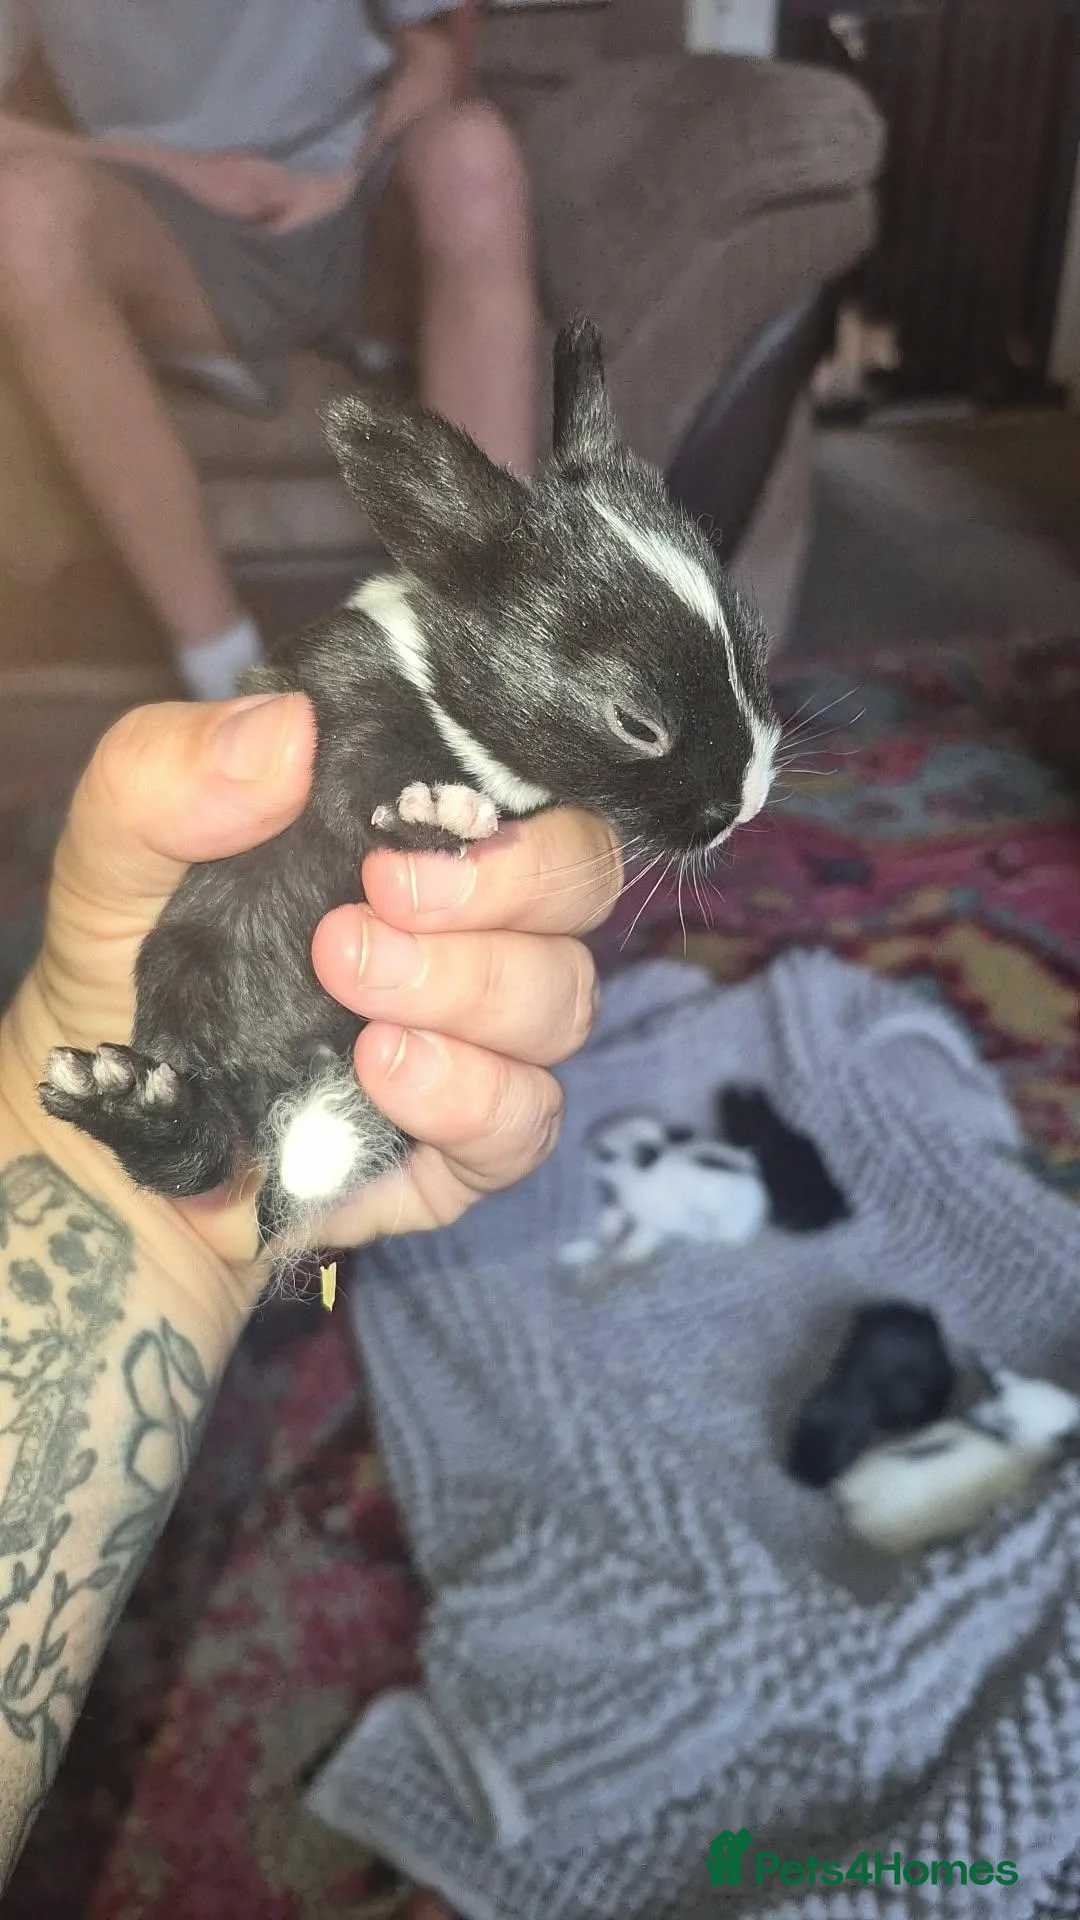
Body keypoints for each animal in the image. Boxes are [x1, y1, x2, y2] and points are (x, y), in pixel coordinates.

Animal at [559, 1113, 770, 1271]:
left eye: (606, 1155)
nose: (584, 1149)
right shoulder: (623, 1205)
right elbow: (614, 1215)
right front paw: (608, 1232)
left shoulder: (653, 1222)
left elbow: (641, 1238)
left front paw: (626, 1254)